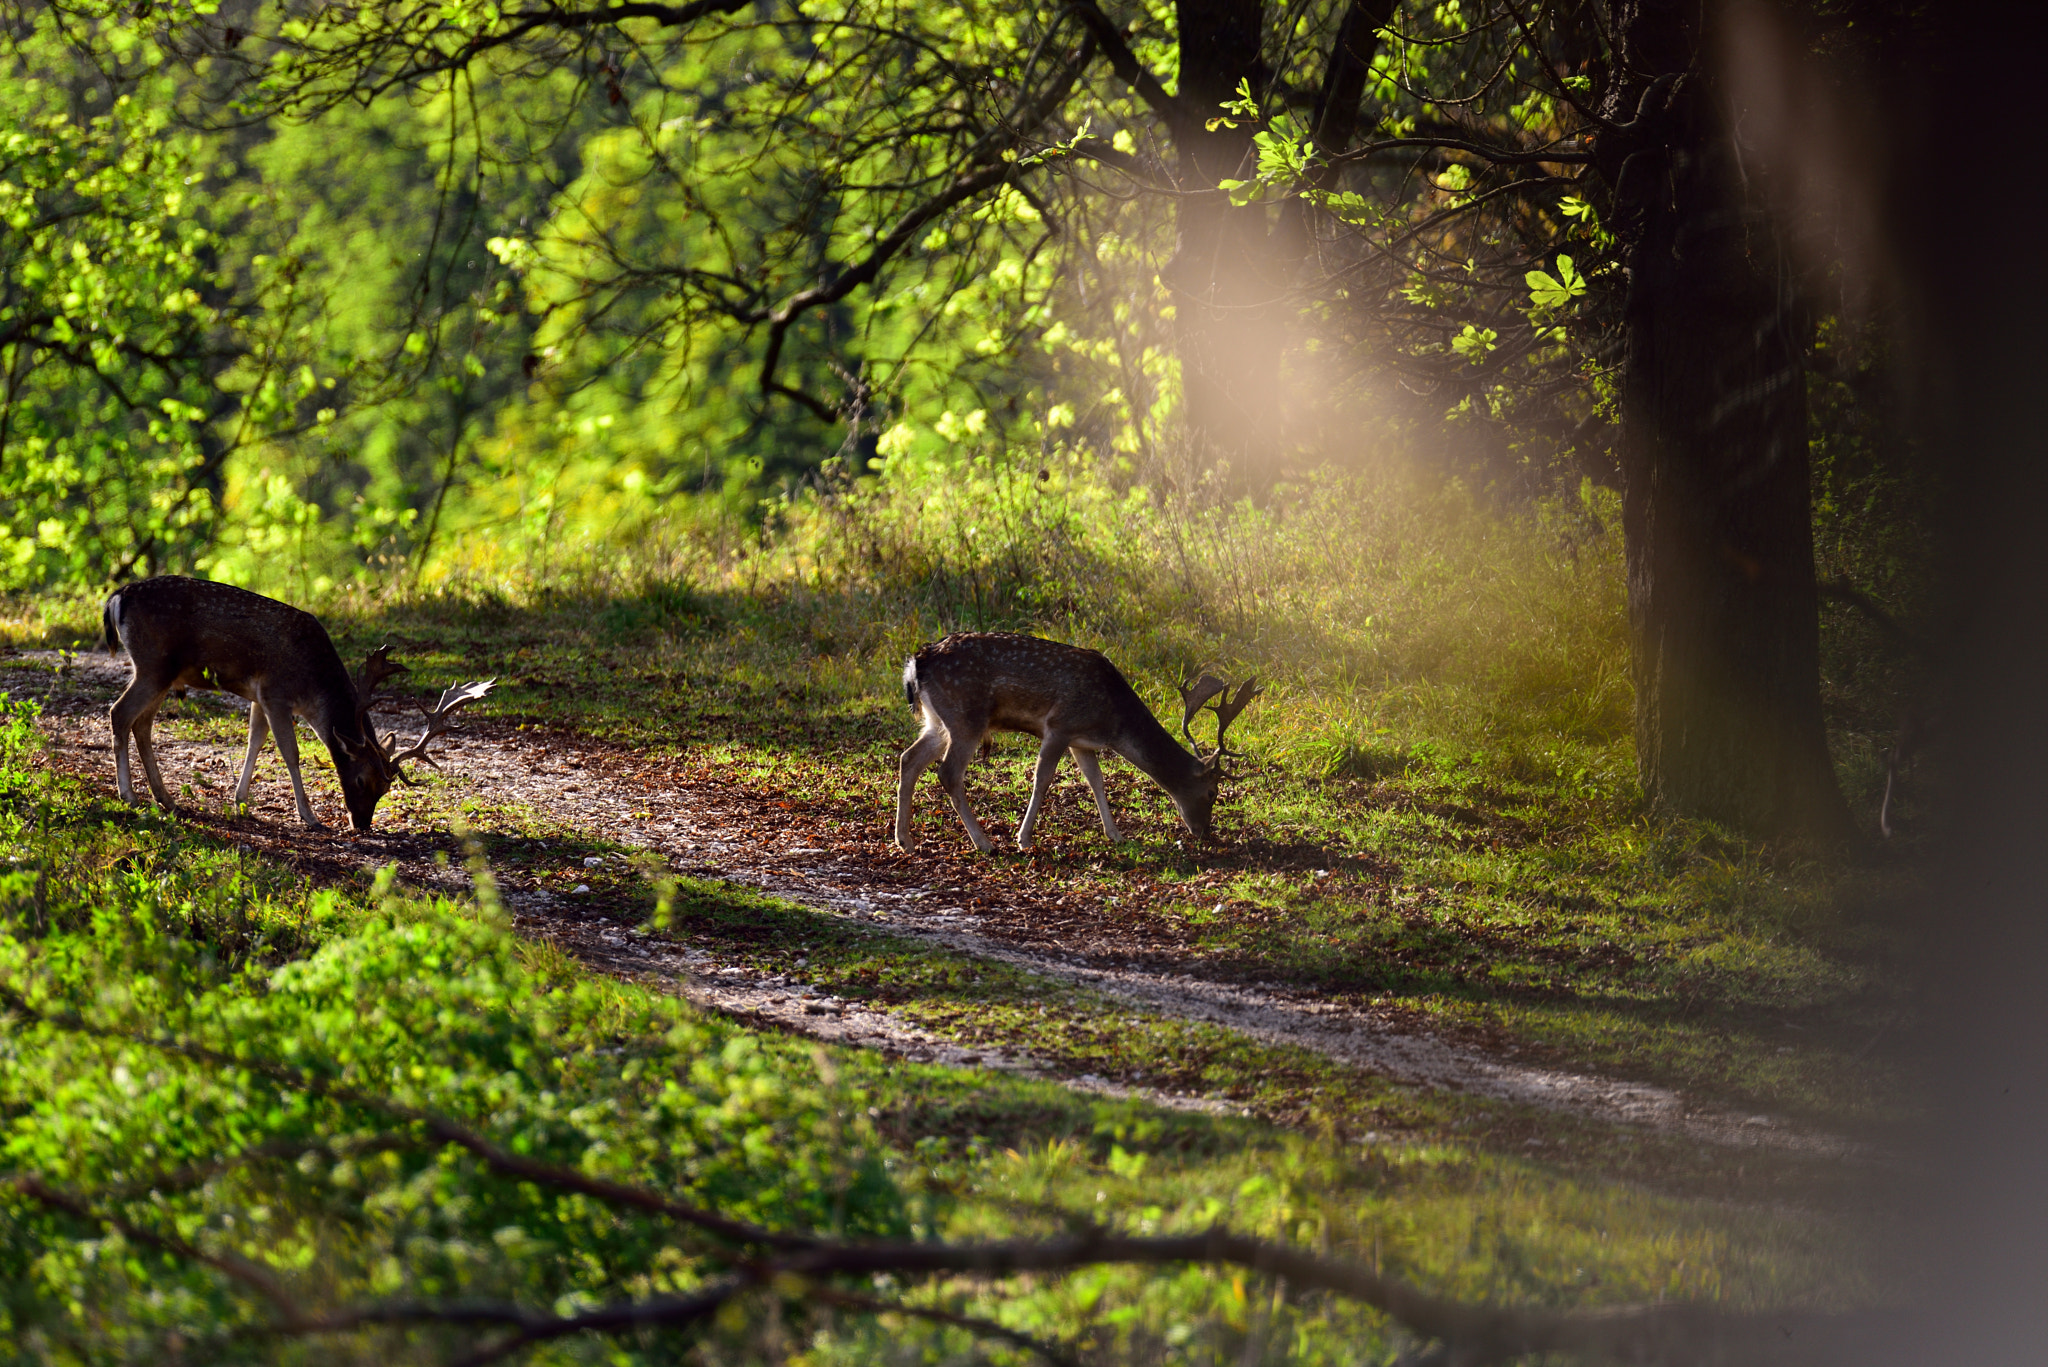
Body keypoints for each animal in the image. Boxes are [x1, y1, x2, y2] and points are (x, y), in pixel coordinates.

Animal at [107, 577, 495, 836]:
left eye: (385, 790)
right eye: (361, 780)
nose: (361, 825)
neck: (312, 685)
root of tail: (116, 598)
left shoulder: (260, 697)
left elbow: (255, 741)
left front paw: (241, 802)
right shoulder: (276, 692)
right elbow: (290, 752)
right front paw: (309, 816)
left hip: (163, 674)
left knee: (141, 724)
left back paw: (166, 799)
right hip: (153, 665)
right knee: (120, 713)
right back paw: (130, 796)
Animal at [892, 635, 1253, 848]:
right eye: (1212, 792)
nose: (1204, 832)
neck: (1113, 720)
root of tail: (915, 664)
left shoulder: (1082, 741)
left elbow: (1096, 781)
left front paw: (1116, 835)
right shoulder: (1059, 725)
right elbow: (1043, 778)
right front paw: (1024, 838)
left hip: (938, 721)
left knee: (908, 759)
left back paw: (904, 840)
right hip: (966, 717)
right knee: (948, 772)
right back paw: (984, 843)